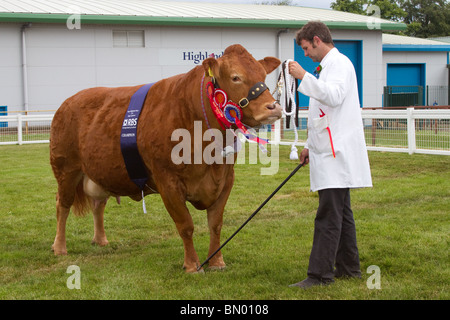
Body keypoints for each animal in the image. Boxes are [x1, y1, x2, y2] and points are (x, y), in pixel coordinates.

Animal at [50, 43, 282, 272]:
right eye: (235, 77)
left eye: (263, 75)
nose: (273, 107)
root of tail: (68, 102)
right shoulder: (167, 180)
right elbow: (186, 225)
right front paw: (192, 265)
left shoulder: (226, 178)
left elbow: (215, 224)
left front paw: (216, 261)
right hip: (66, 169)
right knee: (63, 205)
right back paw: (59, 247)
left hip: (100, 172)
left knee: (98, 204)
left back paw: (100, 240)